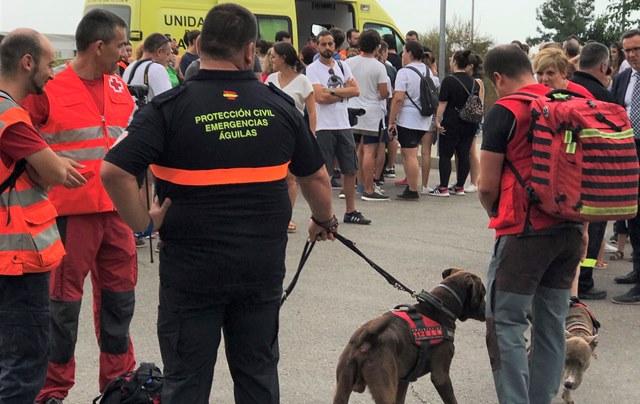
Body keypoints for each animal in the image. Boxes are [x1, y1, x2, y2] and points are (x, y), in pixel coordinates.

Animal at [336, 268, 484, 404]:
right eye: (483, 293)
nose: (486, 311)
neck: (440, 306)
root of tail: (367, 339)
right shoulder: (441, 377)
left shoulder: (402, 381)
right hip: (385, 390)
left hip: (342, 388)